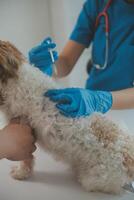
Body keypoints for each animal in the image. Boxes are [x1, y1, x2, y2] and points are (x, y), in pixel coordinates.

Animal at [0, 40, 134, 194]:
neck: (14, 79)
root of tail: (129, 157)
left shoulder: (24, 128)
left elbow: (26, 159)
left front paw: (21, 173)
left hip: (93, 179)